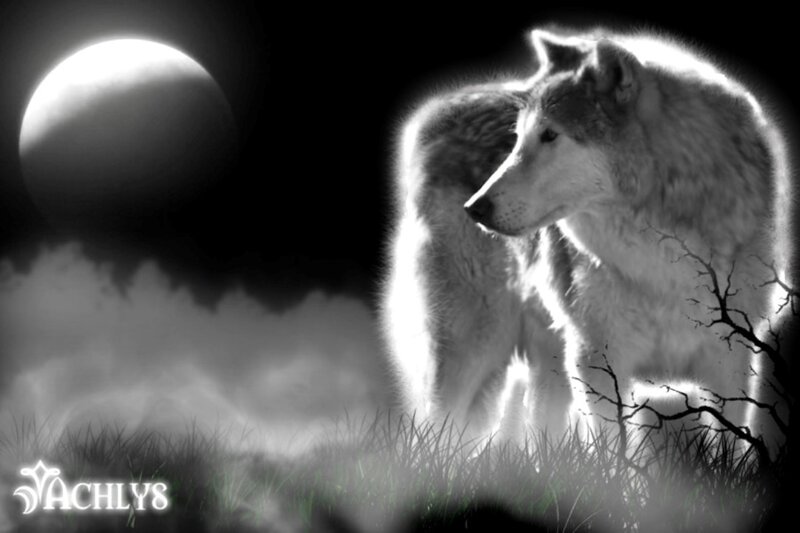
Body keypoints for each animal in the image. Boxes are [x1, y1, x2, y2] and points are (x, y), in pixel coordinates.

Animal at [465, 29, 791, 451]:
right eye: (519, 139)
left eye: (550, 135)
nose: (475, 207)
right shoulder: (596, 360)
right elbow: (612, 453)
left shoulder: (730, 361)